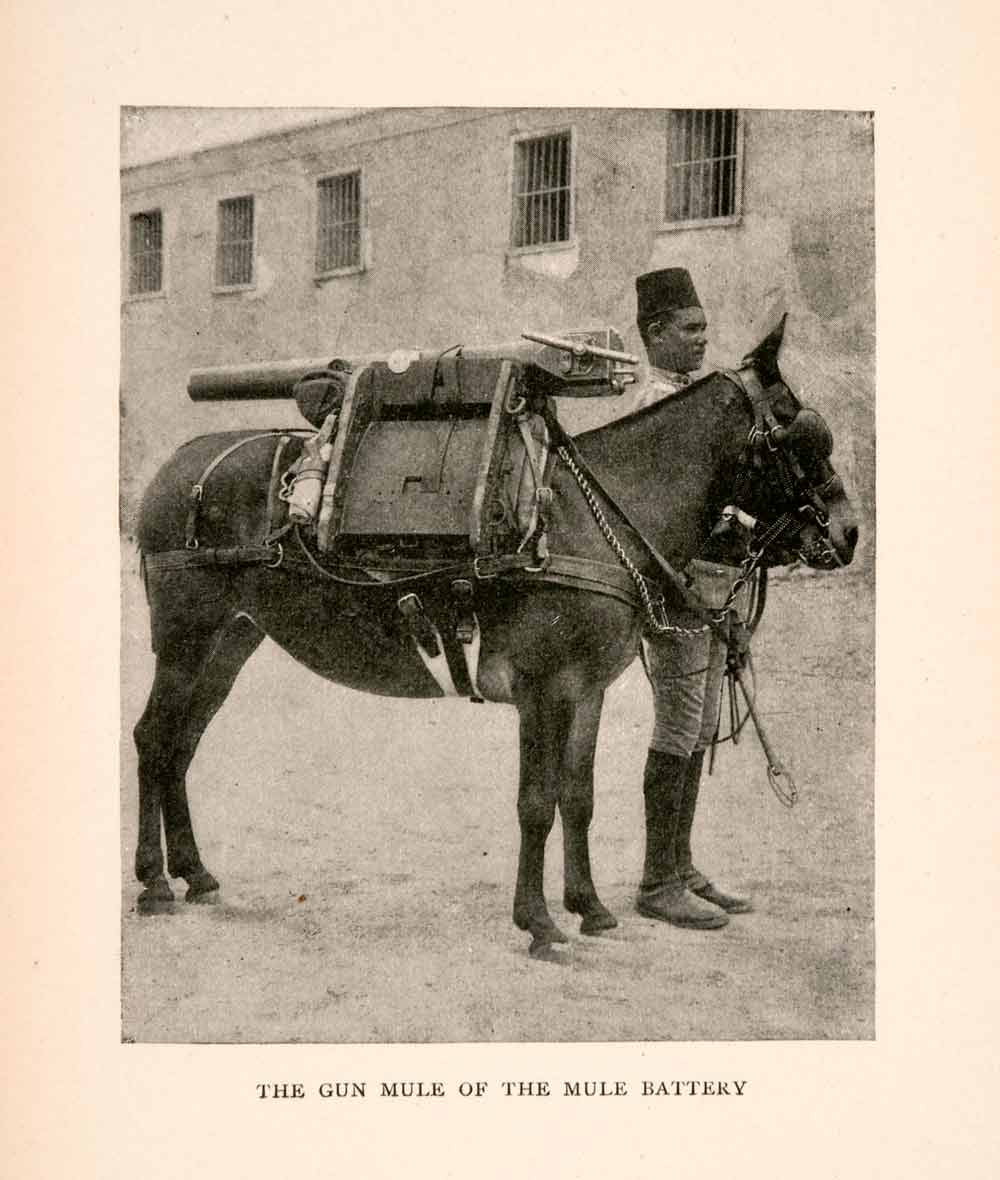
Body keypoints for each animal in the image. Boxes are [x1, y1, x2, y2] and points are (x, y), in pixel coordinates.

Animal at [131, 320, 858, 955]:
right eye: (799, 432)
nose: (849, 533)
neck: (593, 521)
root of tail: (178, 465)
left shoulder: (585, 691)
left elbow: (578, 797)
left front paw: (590, 908)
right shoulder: (542, 691)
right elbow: (536, 804)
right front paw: (538, 923)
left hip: (231, 642)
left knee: (182, 743)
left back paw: (194, 873)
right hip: (185, 637)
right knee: (153, 738)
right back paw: (154, 883)